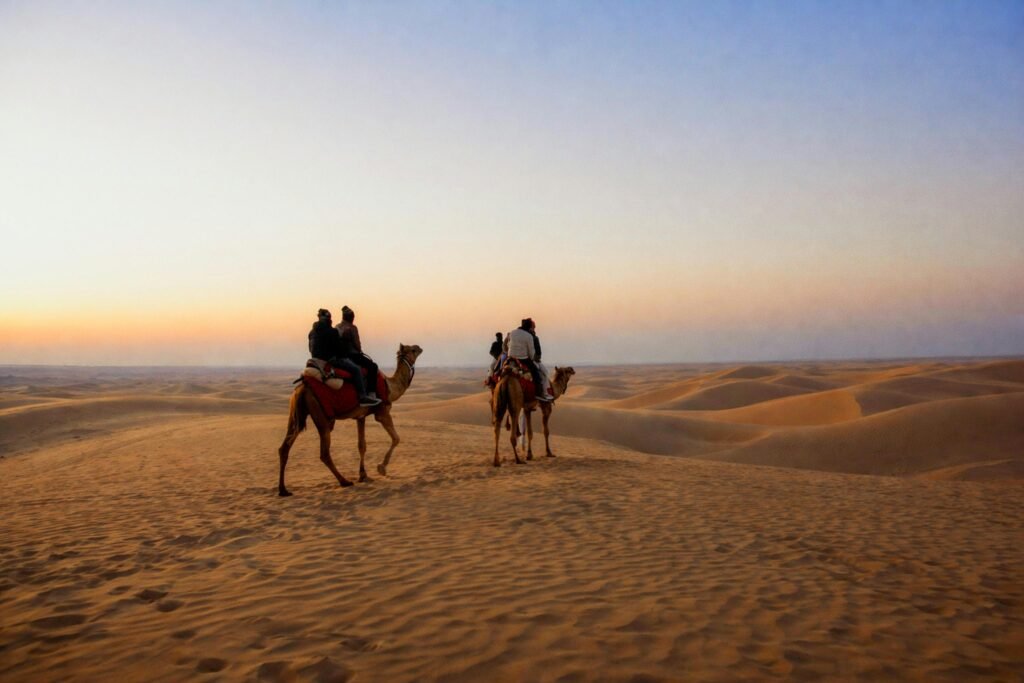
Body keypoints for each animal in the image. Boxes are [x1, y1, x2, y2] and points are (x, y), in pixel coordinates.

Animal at [277, 344, 423, 496]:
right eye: (413, 350)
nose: (420, 347)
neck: (390, 387)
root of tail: (302, 387)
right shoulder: (382, 412)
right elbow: (396, 438)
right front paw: (381, 468)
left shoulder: (361, 416)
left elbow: (362, 445)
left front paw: (363, 475)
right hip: (321, 415)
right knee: (324, 453)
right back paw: (344, 481)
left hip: (296, 413)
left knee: (284, 447)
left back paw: (283, 490)